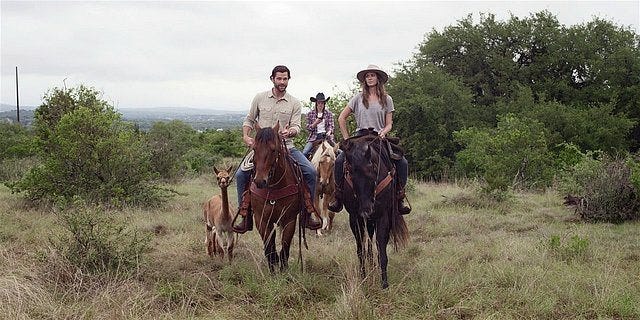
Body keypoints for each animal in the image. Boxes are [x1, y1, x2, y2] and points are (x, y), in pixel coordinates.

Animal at [251, 122, 306, 272]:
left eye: (273, 149)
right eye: (254, 148)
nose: (260, 181)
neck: (274, 187)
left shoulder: (289, 219)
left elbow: (285, 248)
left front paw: (284, 271)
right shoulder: (262, 220)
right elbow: (269, 248)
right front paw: (272, 270)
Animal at [340, 131, 410, 288]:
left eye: (373, 172)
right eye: (350, 174)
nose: (366, 209)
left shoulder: (383, 216)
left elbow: (382, 251)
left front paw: (384, 284)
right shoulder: (355, 217)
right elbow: (360, 249)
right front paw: (363, 276)